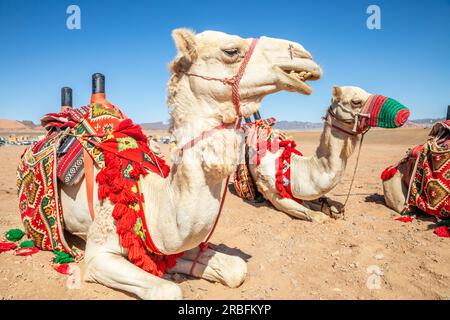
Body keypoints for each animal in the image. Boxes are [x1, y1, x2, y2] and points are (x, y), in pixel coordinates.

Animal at [59, 28, 322, 298]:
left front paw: (178, 267)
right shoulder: (98, 253)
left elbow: (234, 268)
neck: (148, 199)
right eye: (231, 51)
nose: (304, 55)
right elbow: (168, 290)